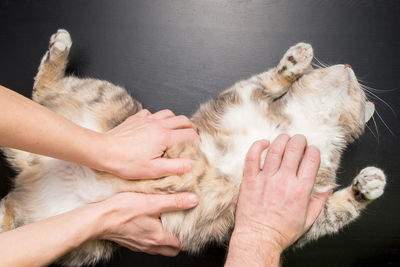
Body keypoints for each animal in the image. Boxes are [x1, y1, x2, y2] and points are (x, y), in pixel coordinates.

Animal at [0, 28, 388, 266]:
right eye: (342, 72)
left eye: (358, 87)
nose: (349, 63)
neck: (304, 124)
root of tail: (29, 171)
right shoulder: (240, 96)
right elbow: (272, 80)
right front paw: (296, 61)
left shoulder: (309, 209)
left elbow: (337, 211)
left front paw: (368, 185)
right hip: (109, 97)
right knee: (40, 91)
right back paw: (60, 47)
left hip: (74, 244)